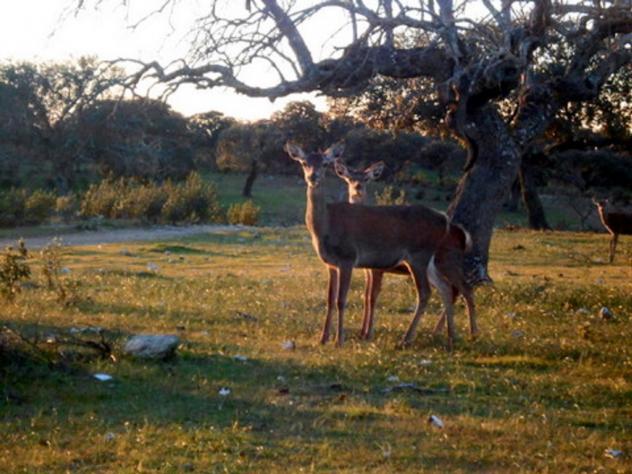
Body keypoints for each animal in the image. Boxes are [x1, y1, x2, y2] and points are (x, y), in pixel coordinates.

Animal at [285, 141, 458, 349]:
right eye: (304, 163)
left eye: (325, 164)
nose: (313, 177)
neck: (325, 227)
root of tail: (444, 219)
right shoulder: (330, 264)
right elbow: (329, 299)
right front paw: (323, 338)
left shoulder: (348, 257)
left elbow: (341, 300)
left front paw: (339, 340)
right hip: (428, 259)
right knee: (445, 287)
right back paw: (450, 337)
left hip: (418, 254)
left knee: (425, 292)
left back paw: (406, 339)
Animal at [334, 160, 478, 342]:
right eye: (350, 178)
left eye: (366, 178)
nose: (358, 187)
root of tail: (463, 234)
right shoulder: (367, 268)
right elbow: (366, 296)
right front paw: (362, 332)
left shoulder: (377, 268)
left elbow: (372, 297)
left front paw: (368, 333)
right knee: (452, 289)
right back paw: (445, 332)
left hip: (447, 260)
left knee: (464, 289)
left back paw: (471, 332)